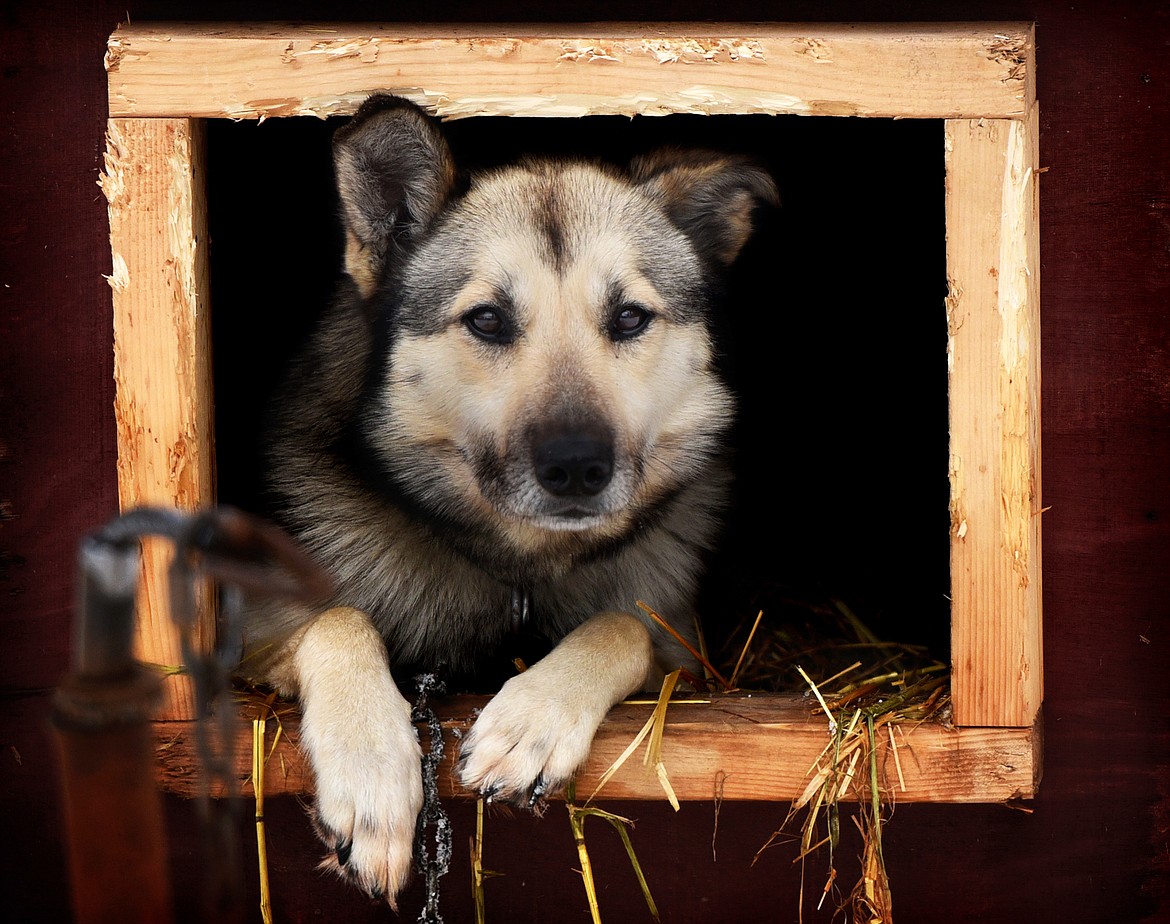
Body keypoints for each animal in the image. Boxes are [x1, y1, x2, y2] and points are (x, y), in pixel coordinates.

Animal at [243, 94, 776, 902]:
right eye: (487, 319)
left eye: (629, 318)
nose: (577, 467)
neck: (519, 572)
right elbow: (337, 618)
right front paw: (372, 777)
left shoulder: (688, 656)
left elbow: (620, 625)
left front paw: (534, 719)